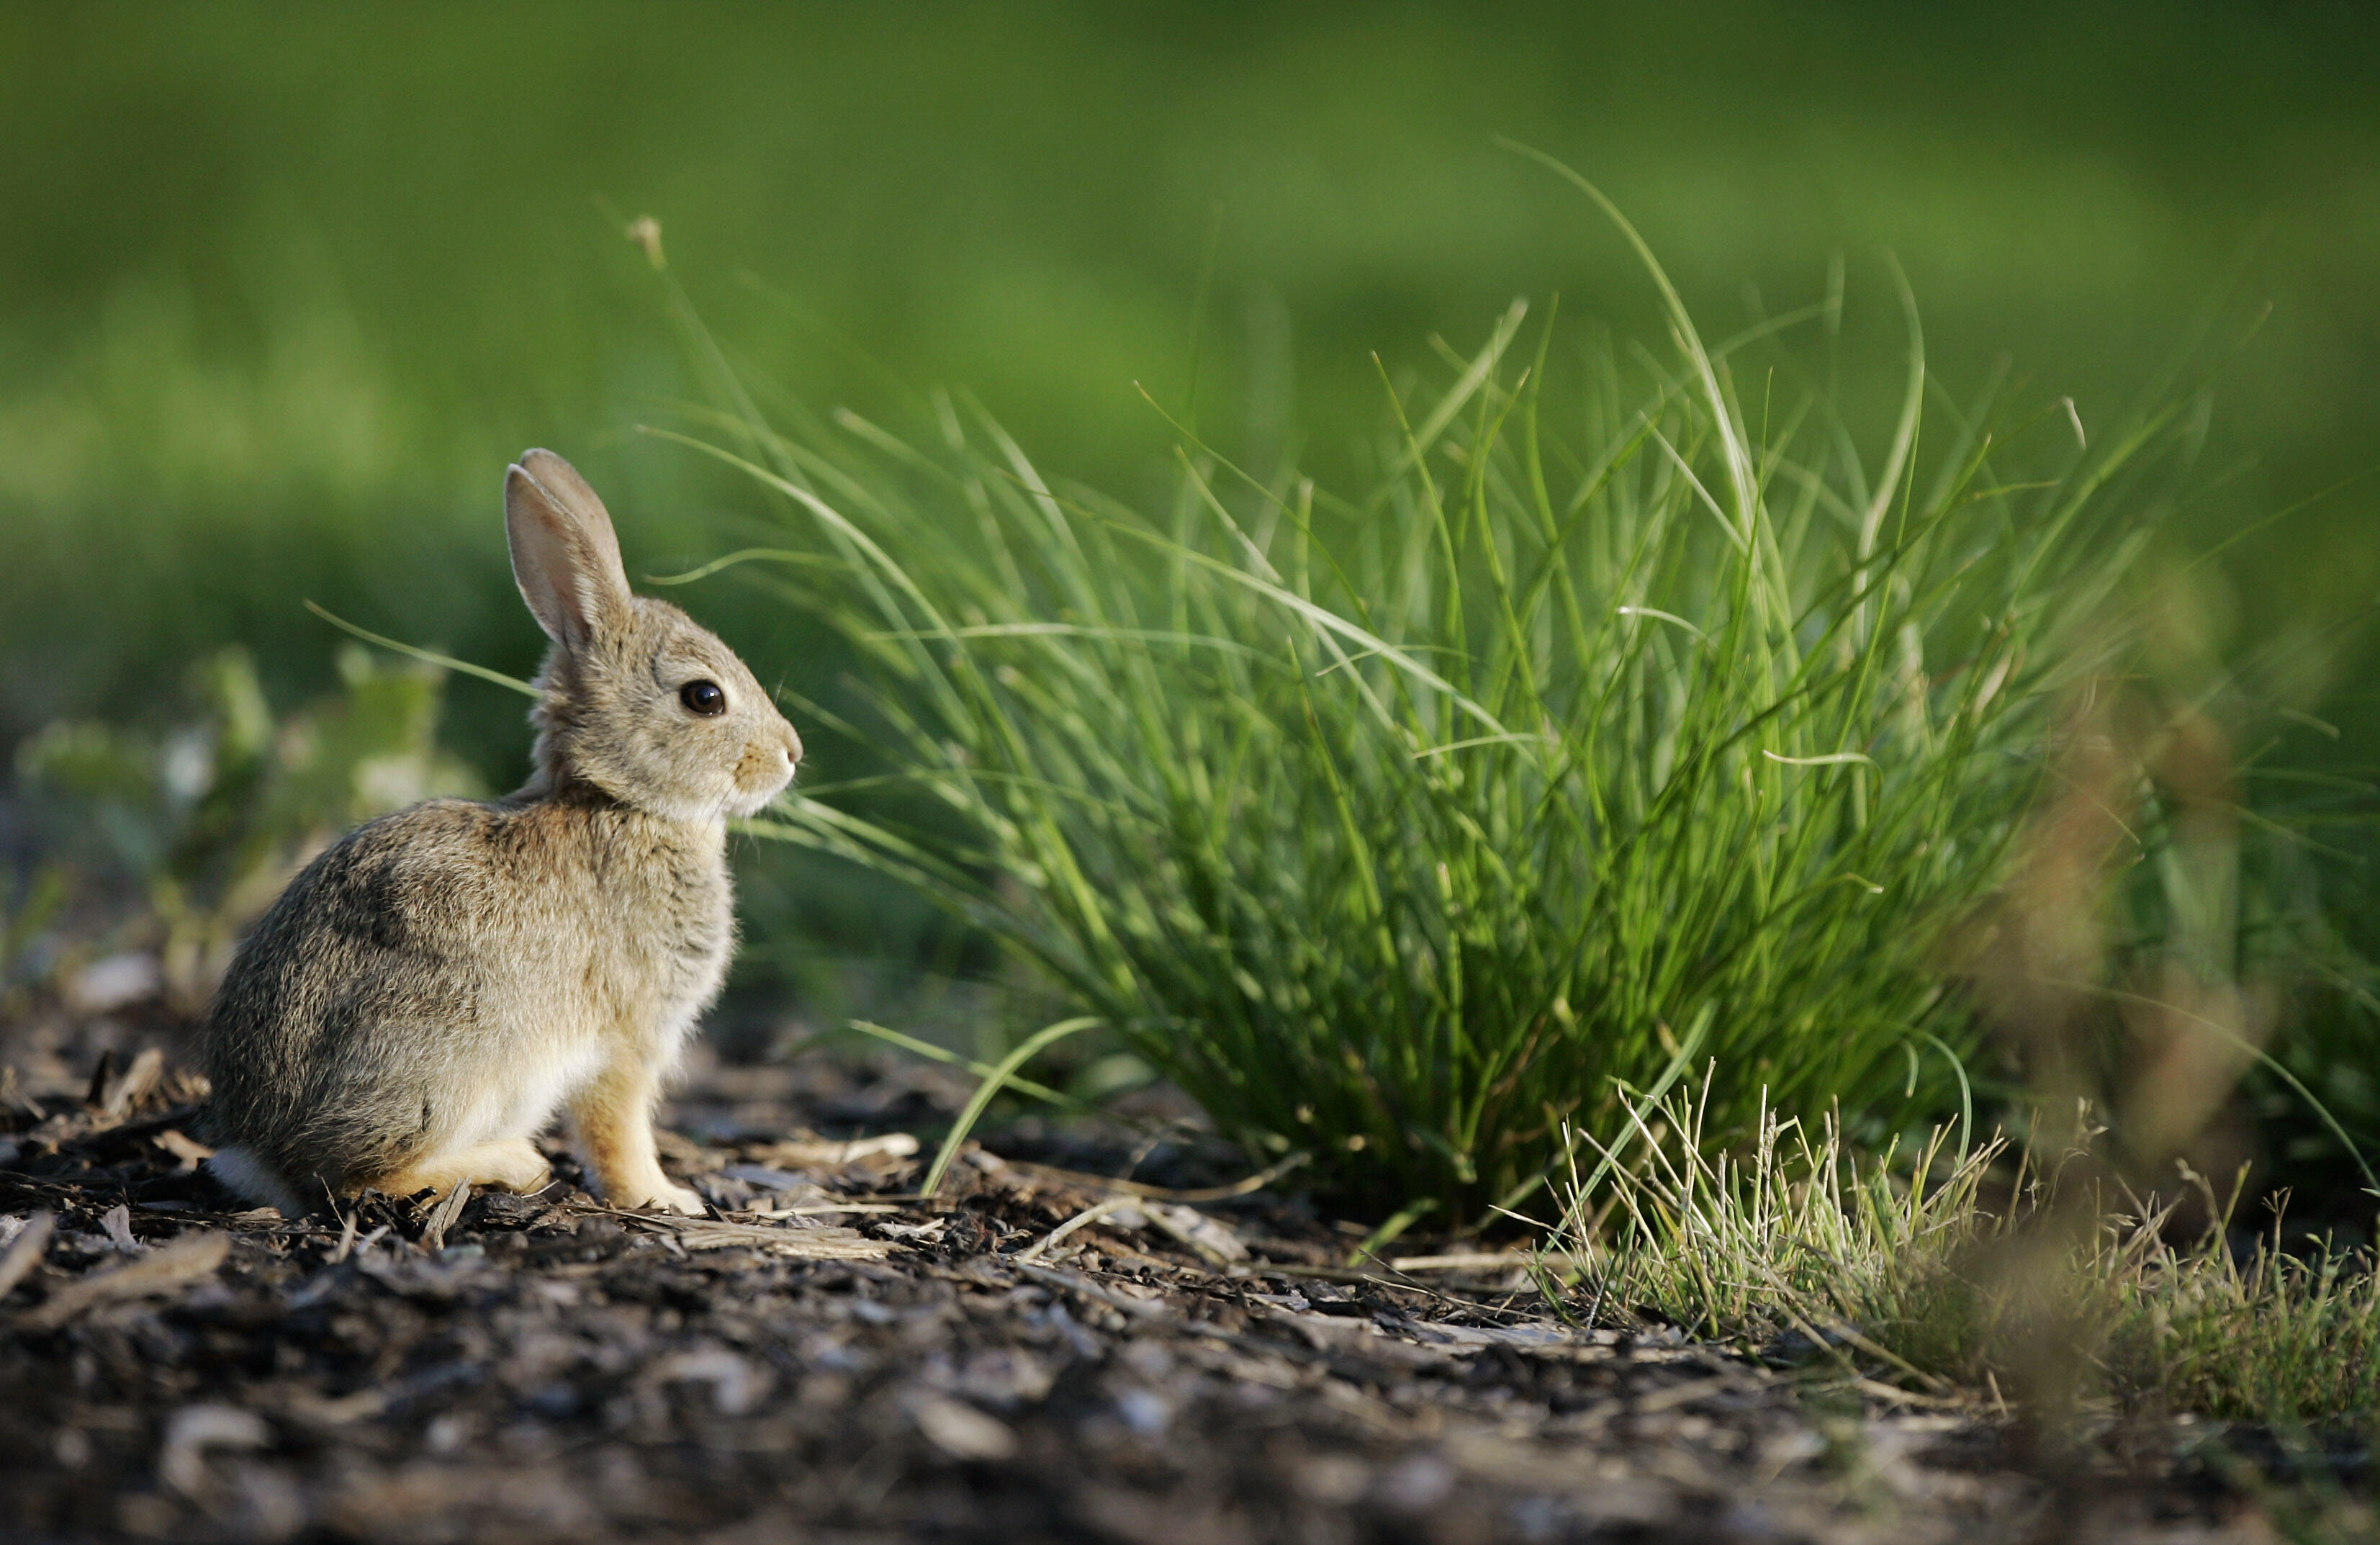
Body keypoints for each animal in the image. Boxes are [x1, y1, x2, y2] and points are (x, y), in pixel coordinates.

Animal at [204, 449, 799, 1218]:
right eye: (704, 697)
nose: (791, 754)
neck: (621, 804)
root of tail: (259, 1153)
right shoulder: (626, 1040)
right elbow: (619, 1132)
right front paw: (666, 1196)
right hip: (454, 1062)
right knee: (356, 1175)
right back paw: (512, 1162)